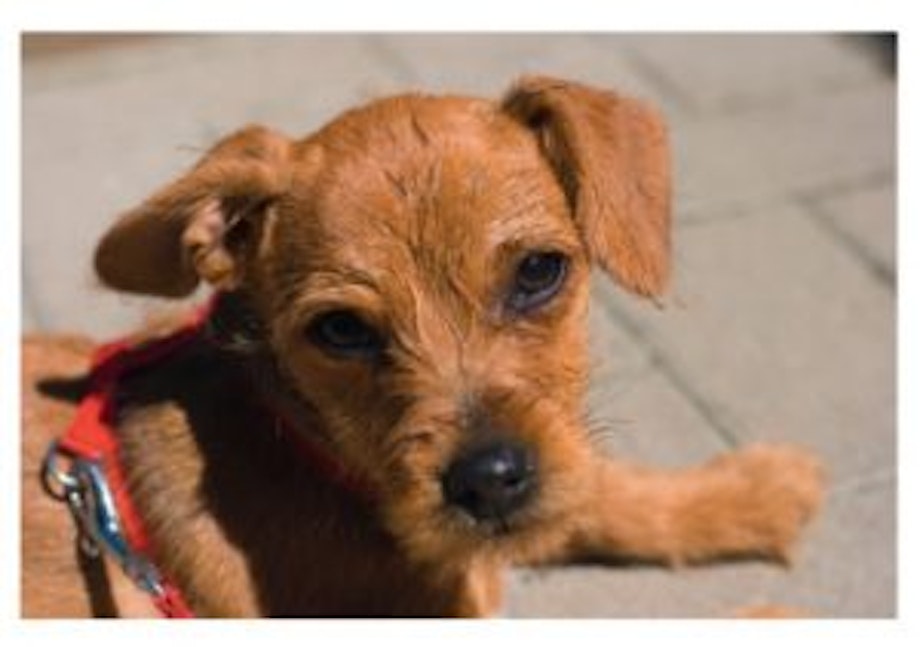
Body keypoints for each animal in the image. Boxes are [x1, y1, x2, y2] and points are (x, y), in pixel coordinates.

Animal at [21, 76, 824, 616]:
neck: (305, 449)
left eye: (539, 271)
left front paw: (755, 487)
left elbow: (593, 485)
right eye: (341, 329)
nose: (489, 481)